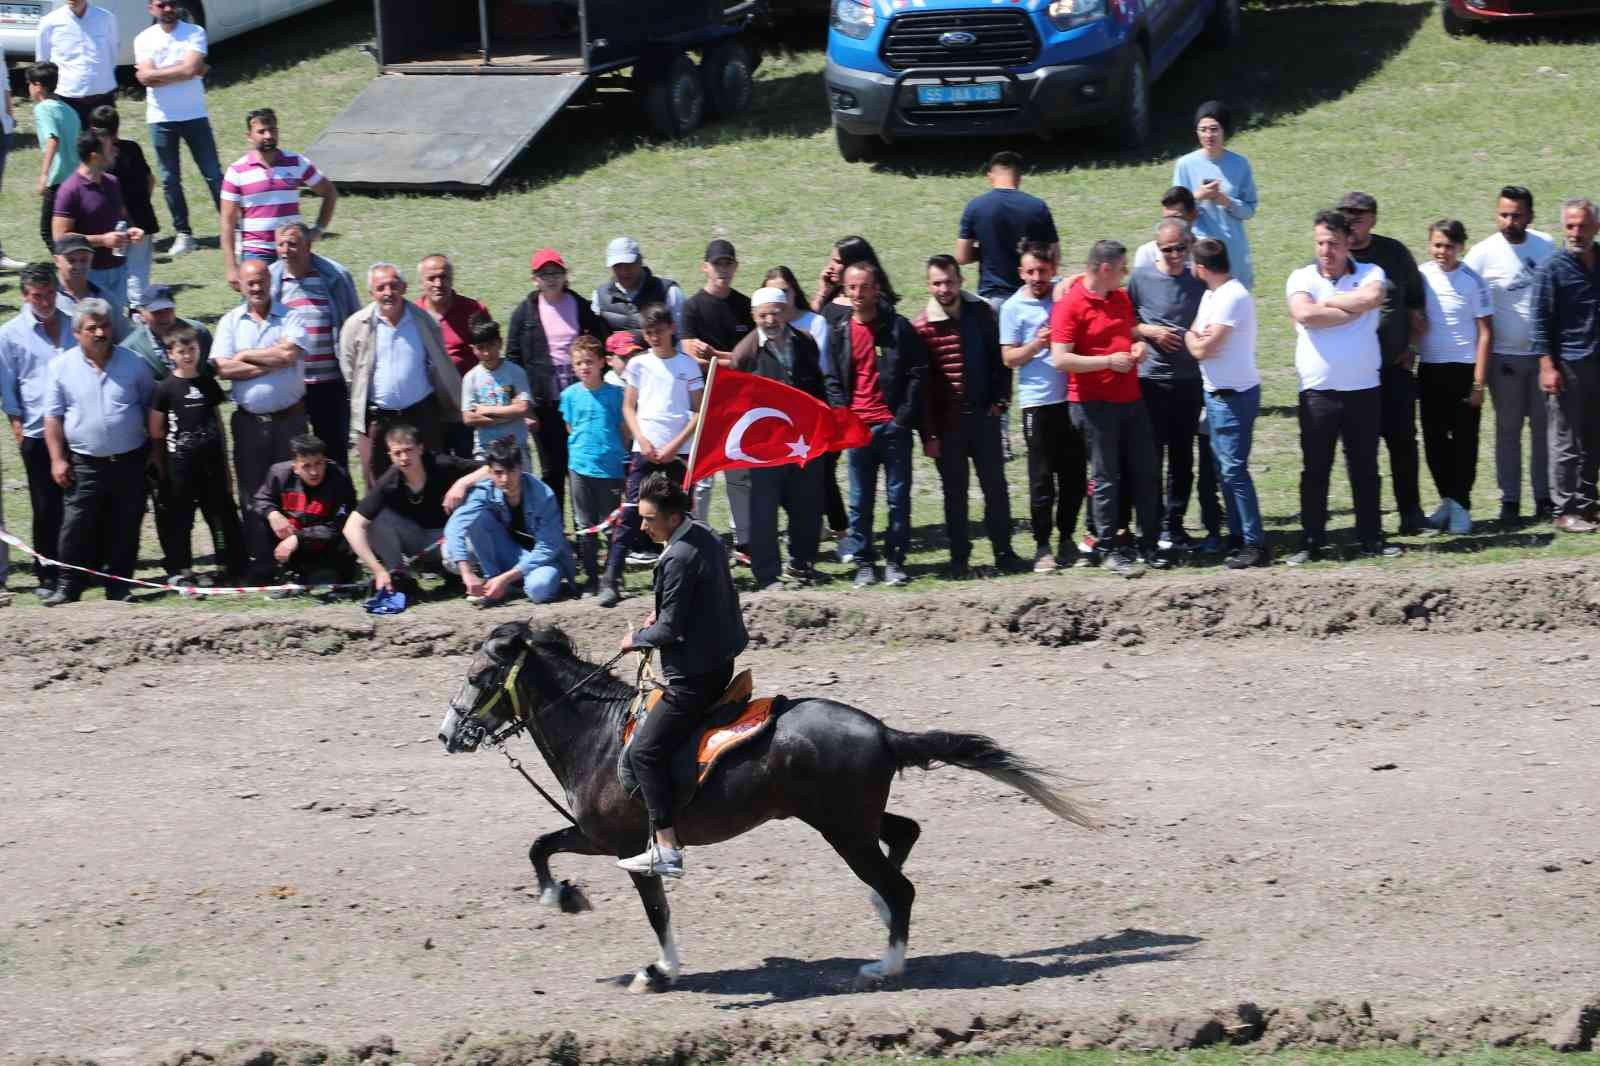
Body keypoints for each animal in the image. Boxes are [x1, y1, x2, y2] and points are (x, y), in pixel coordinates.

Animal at [432, 617, 1094, 992]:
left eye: (480, 676)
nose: (446, 734)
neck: (597, 732)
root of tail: (882, 731)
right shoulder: (594, 837)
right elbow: (539, 846)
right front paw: (563, 896)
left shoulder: (620, 843)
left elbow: (655, 910)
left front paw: (659, 971)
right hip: (852, 820)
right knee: (905, 834)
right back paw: (881, 916)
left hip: (842, 830)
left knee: (901, 883)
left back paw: (886, 966)